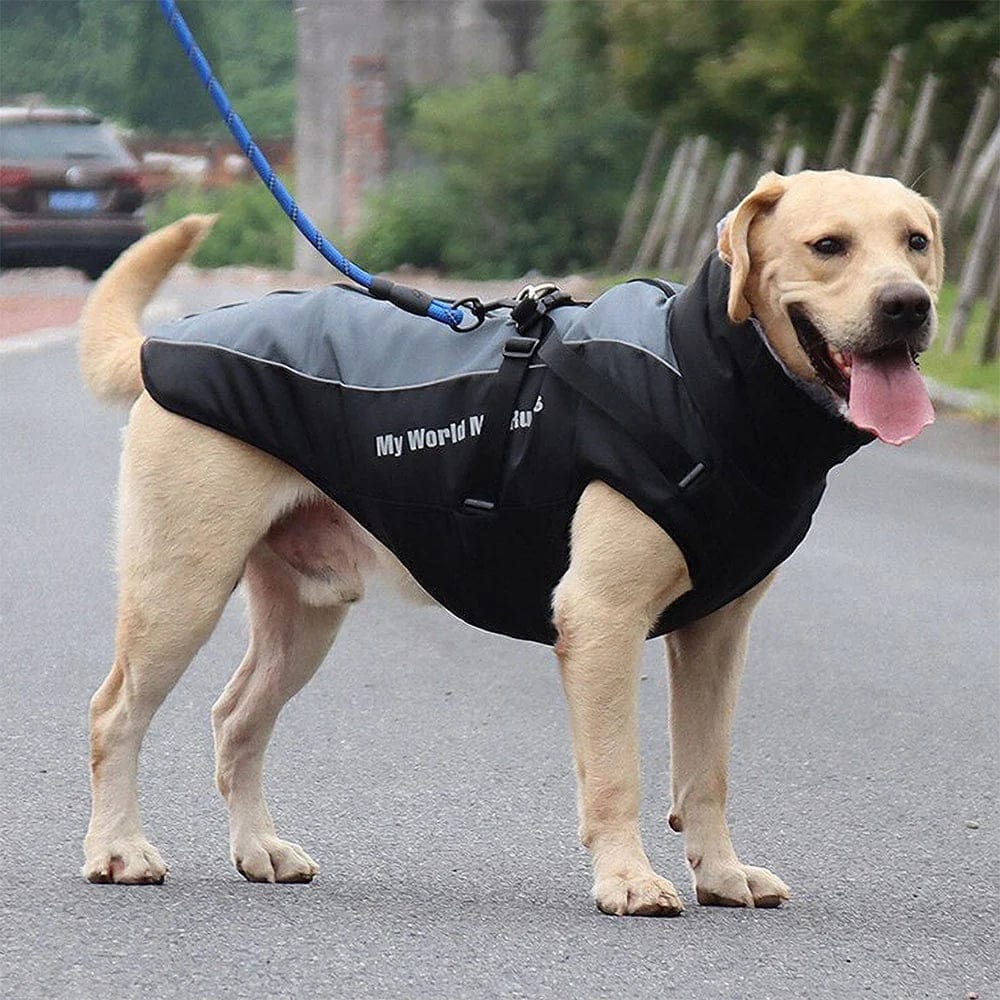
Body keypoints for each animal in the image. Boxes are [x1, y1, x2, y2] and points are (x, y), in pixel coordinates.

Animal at [80, 170, 944, 916]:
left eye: (916, 242)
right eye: (828, 245)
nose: (909, 305)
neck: (705, 374)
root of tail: (165, 343)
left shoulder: (716, 634)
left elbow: (707, 772)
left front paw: (722, 874)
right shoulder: (601, 620)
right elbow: (618, 774)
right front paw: (629, 880)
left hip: (305, 614)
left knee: (236, 719)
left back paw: (258, 849)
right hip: (181, 590)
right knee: (114, 713)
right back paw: (120, 851)